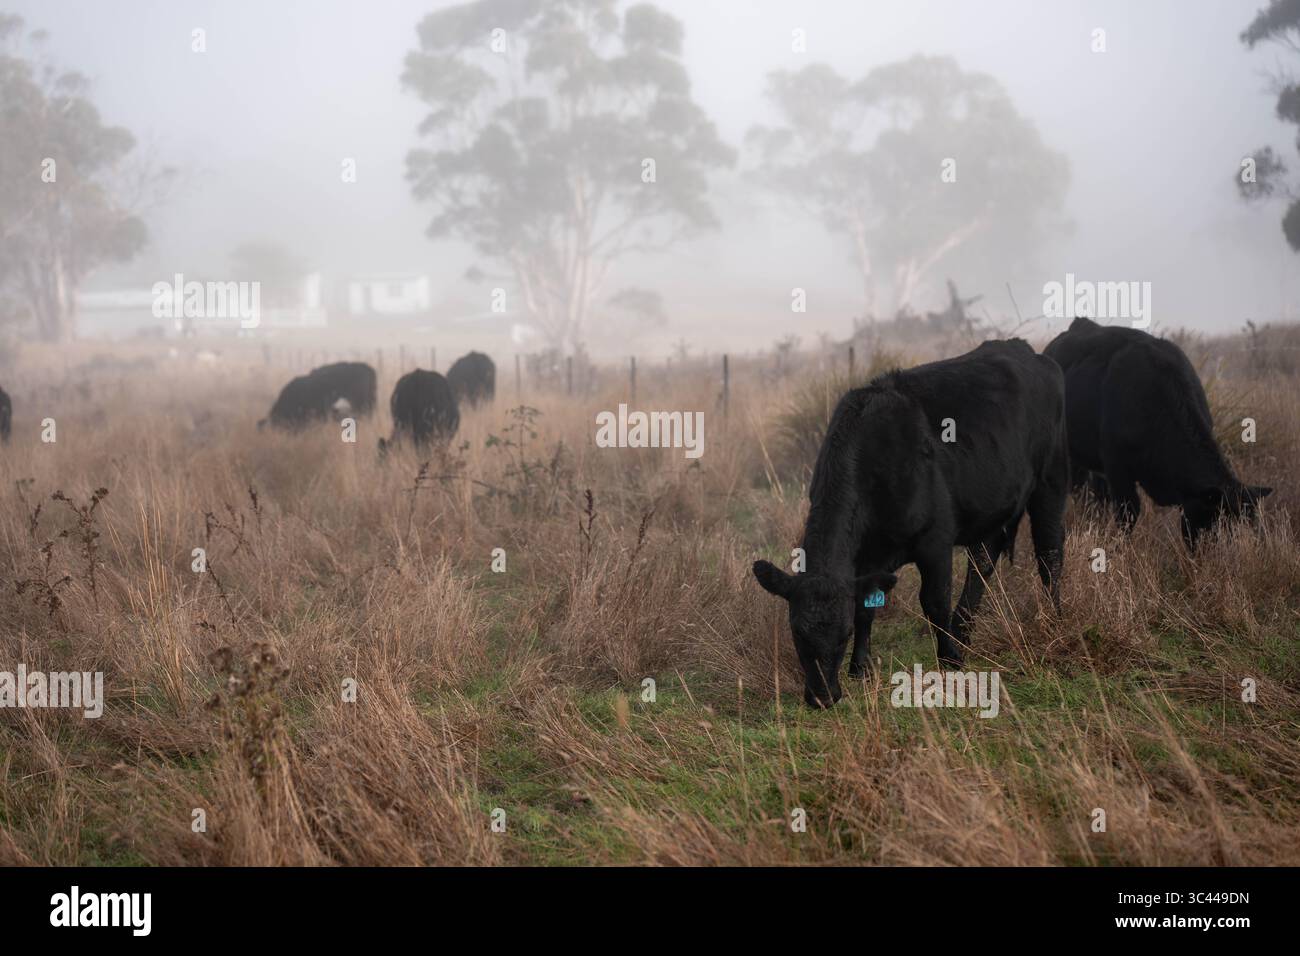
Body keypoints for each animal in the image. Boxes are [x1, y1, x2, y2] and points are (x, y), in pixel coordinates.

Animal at [753, 339, 1069, 708]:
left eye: (843, 634)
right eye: (796, 632)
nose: (822, 697)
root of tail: (1023, 349)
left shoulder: (935, 541)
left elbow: (934, 600)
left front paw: (949, 661)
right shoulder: (866, 559)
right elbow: (867, 608)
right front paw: (860, 668)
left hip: (1051, 482)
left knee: (1049, 557)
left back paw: (1055, 621)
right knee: (983, 562)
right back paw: (963, 631)